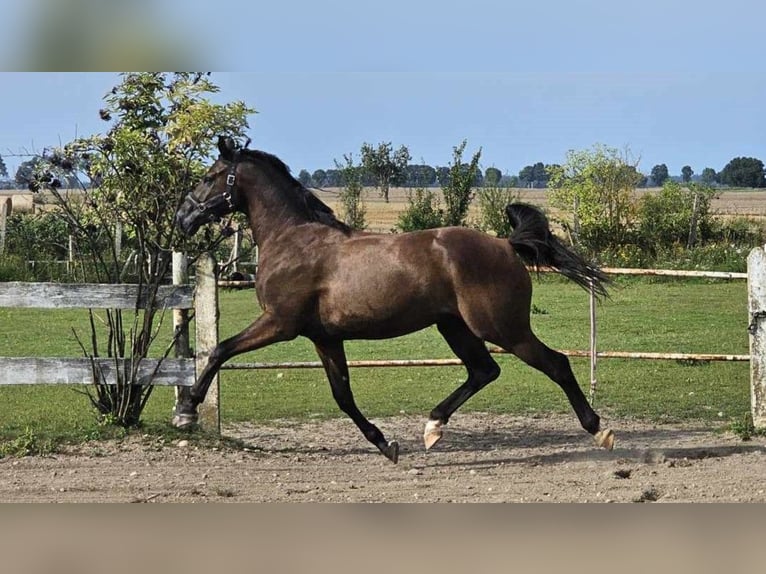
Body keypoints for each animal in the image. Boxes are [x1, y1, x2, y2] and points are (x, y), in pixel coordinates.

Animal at [176, 137, 616, 466]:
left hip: (501, 327)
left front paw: (188, 409)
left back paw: (600, 431)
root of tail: (506, 245)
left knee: (555, 364)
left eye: (209, 176)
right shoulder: (324, 338)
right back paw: (433, 428)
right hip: (455, 325)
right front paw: (386, 444)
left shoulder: (280, 323)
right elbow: (343, 395)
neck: (293, 240)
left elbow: (219, 349)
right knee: (484, 370)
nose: (184, 217)